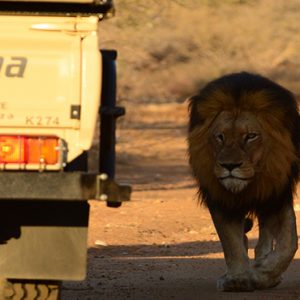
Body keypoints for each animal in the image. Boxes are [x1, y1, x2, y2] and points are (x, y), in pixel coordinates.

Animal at [188, 71, 300, 292]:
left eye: (250, 136)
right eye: (220, 136)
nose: (229, 166)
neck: (251, 183)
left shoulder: (277, 195)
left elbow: (289, 243)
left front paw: (263, 273)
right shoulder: (222, 200)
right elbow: (231, 242)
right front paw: (237, 279)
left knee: (265, 233)